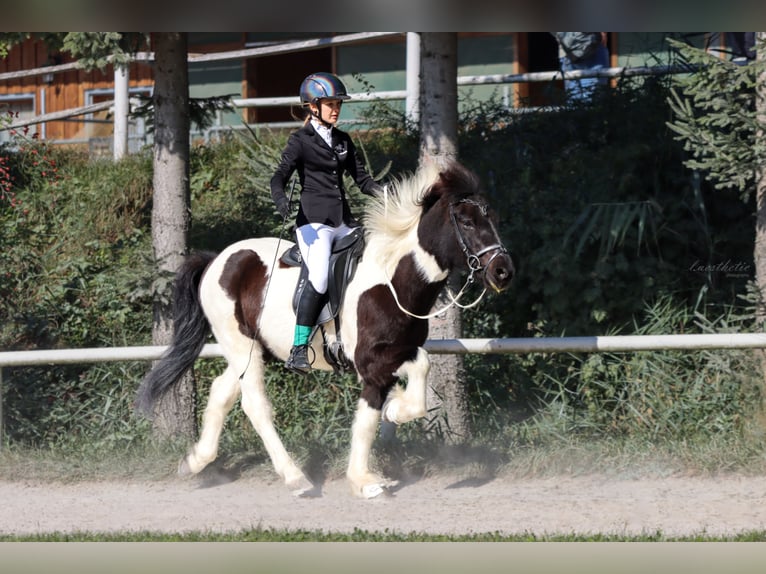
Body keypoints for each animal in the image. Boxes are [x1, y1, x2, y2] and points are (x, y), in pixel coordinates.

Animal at [137, 161, 516, 500]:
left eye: (495, 220)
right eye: (466, 221)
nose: (503, 271)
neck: (393, 279)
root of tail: (217, 259)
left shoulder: (397, 353)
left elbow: (393, 395)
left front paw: (378, 444)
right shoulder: (370, 361)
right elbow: (378, 411)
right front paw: (372, 462)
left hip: (253, 350)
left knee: (221, 392)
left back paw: (195, 461)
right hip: (242, 346)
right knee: (255, 404)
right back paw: (295, 478)